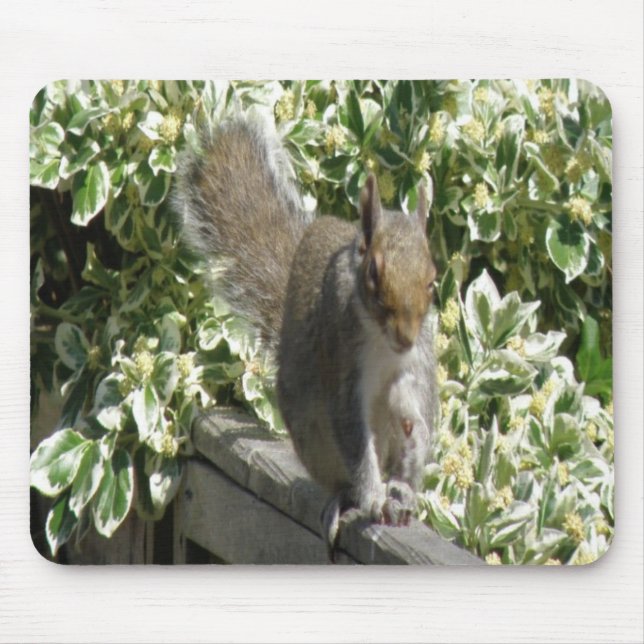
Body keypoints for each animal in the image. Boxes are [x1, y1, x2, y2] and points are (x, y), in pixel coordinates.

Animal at [174, 115, 438, 557]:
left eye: (433, 280)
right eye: (373, 273)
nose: (404, 336)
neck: (383, 343)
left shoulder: (416, 361)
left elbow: (415, 408)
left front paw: (409, 449)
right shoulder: (341, 364)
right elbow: (354, 437)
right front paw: (373, 499)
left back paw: (400, 488)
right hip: (313, 434)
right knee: (343, 478)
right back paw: (349, 499)